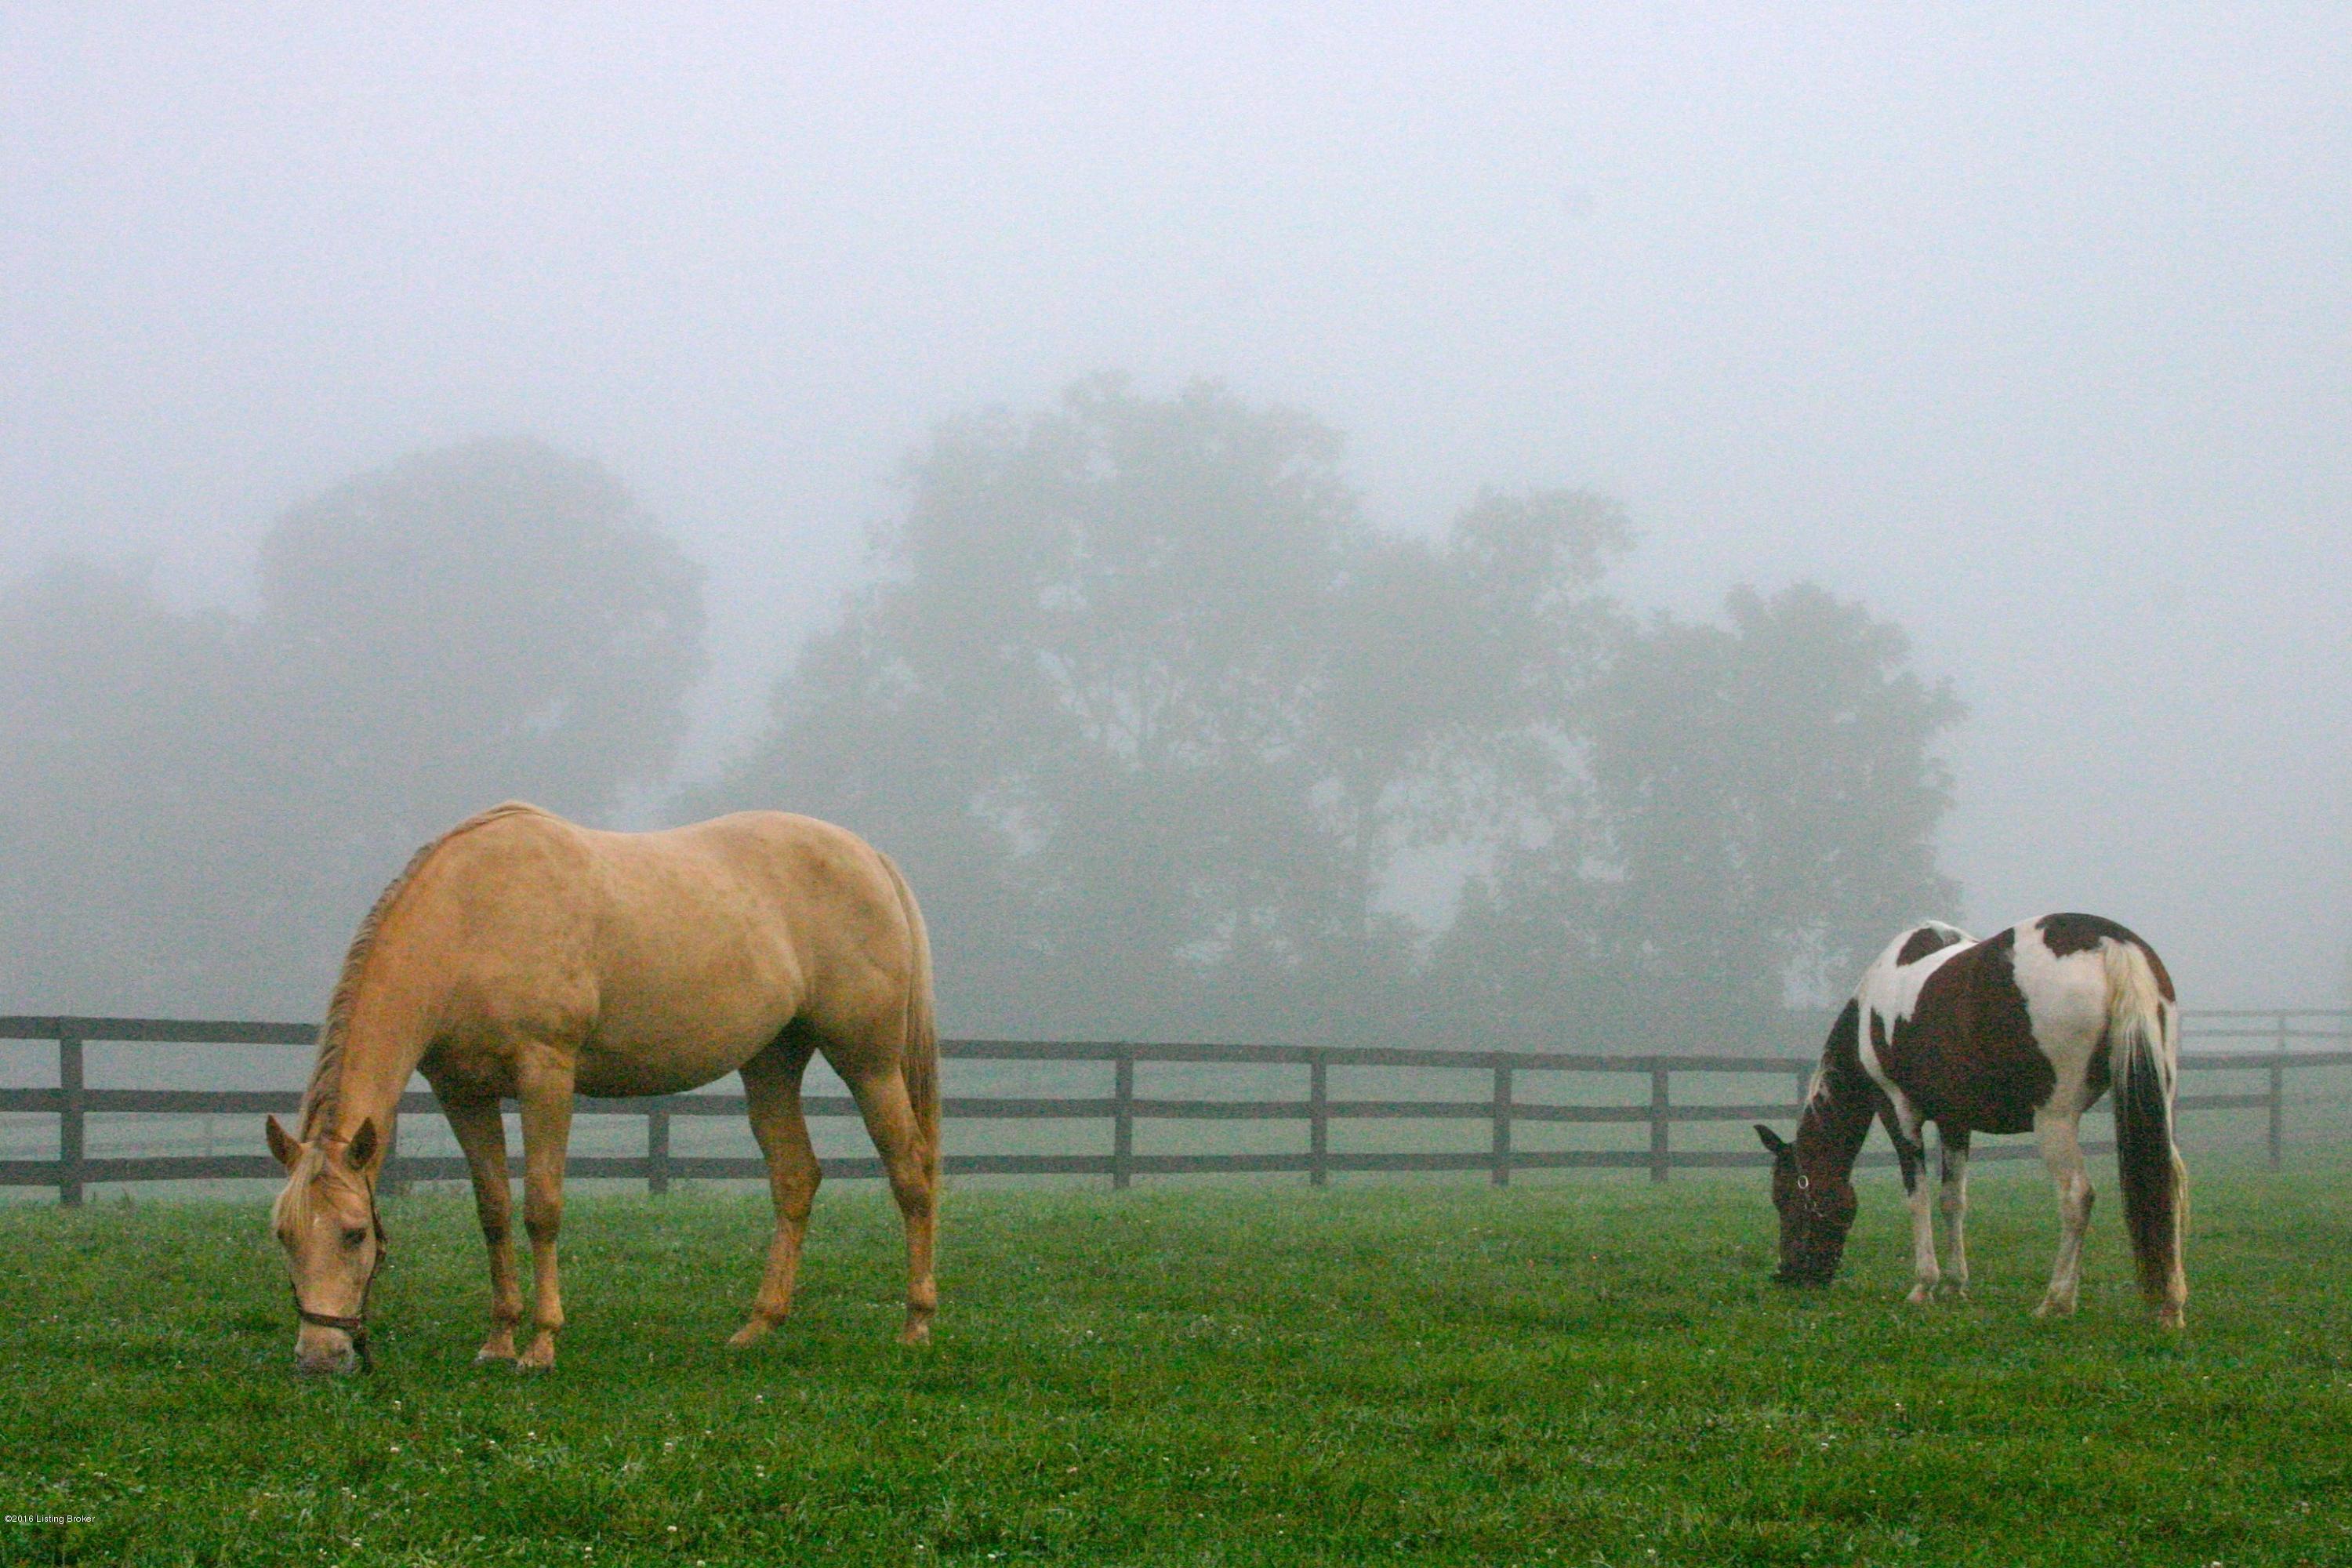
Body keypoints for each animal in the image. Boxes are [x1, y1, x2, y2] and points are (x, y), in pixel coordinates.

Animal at [264, 802, 939, 1374]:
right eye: (284, 1235)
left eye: (355, 1233)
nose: (319, 1358)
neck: (473, 917)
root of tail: (870, 857)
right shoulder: (463, 1094)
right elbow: (493, 1212)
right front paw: (498, 1340)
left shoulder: (546, 1075)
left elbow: (541, 1208)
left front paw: (540, 1346)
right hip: (772, 1063)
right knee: (796, 1179)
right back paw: (758, 1326)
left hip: (869, 1063)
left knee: (911, 1175)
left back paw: (916, 1325)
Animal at [1753, 913, 2187, 1327]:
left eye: (1785, 1197)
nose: (1786, 1274)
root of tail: (2110, 941)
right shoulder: (1955, 1121)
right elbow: (1952, 1200)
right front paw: (1954, 1285)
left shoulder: (1898, 1111)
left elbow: (1918, 1197)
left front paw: (1924, 1285)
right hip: (2156, 1097)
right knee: (2168, 1183)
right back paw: (2170, 1306)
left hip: (2055, 1118)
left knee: (2077, 1196)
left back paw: (2056, 1301)